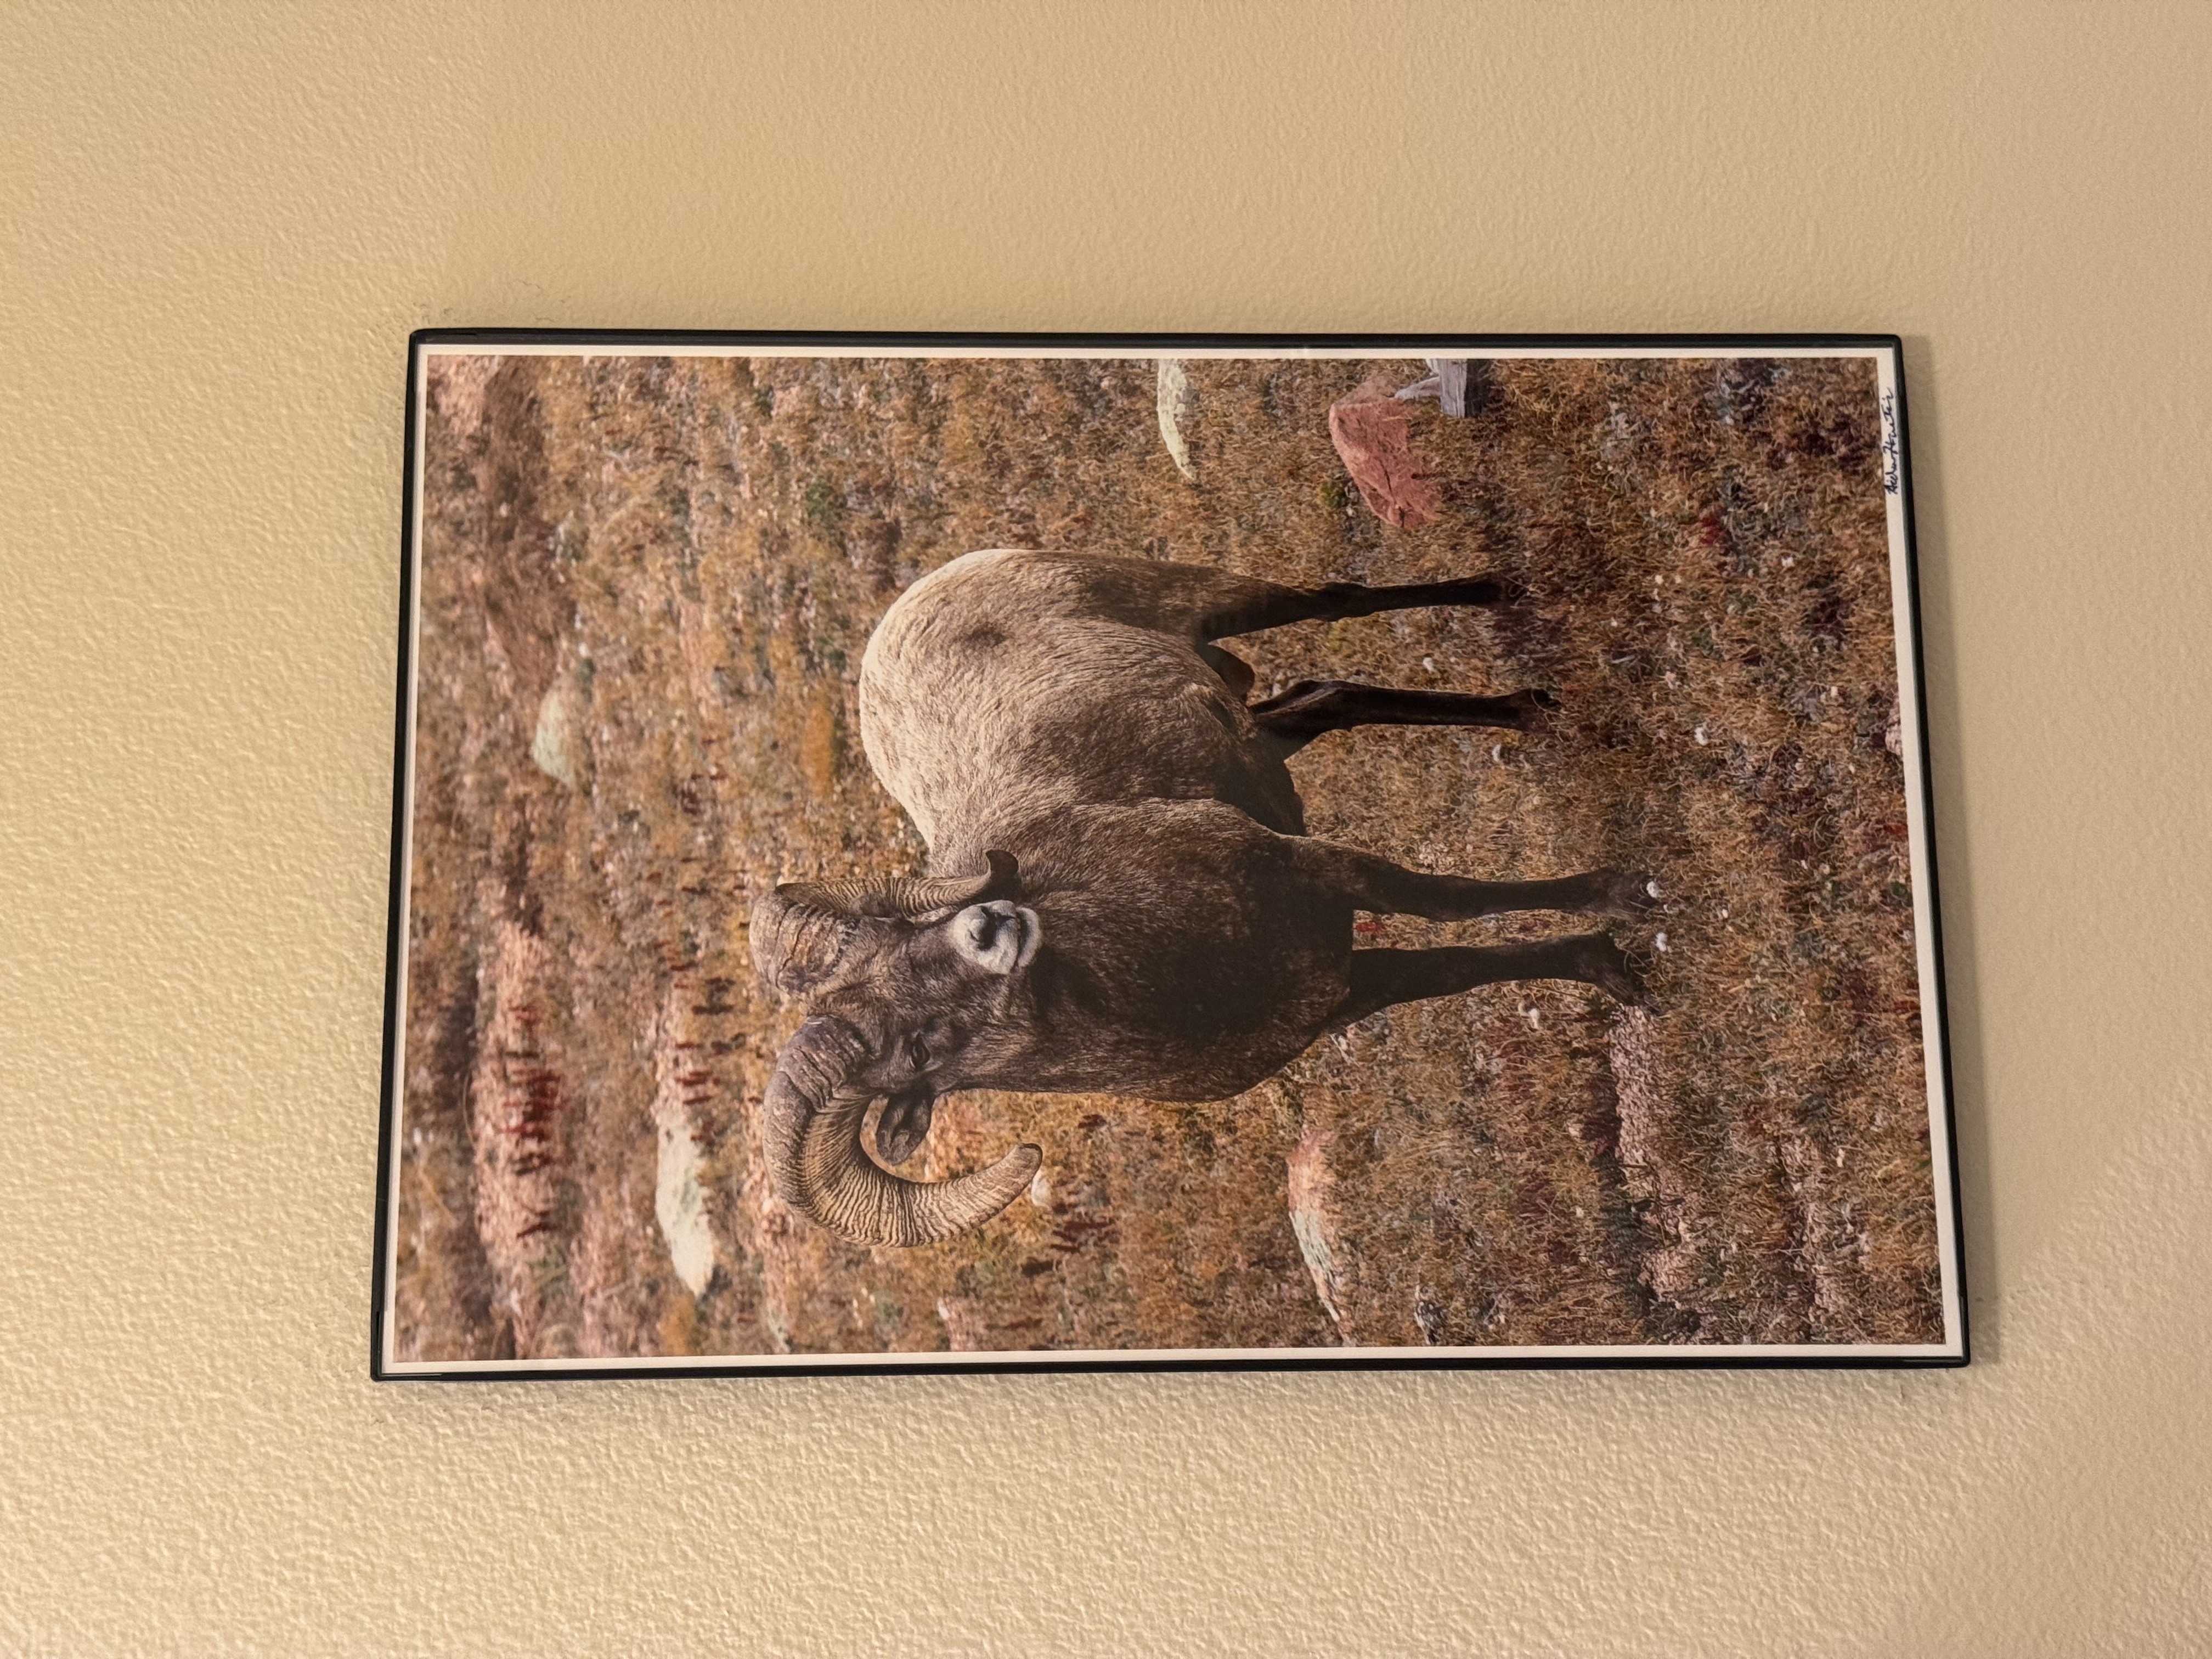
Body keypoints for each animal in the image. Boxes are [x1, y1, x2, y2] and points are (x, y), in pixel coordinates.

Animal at [750, 549, 1652, 1247]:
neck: (1173, 981)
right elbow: (1469, 963)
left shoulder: (1317, 870)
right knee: (1329, 698)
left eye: (916, 927)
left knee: (1336, 600)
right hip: (1260, 724)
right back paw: (1527, 708)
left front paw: (1623, 895)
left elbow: (1450, 902)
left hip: (1208, 598)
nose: (990, 924)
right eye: (913, 1051)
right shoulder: (1346, 988)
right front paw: (1610, 968)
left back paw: (1508, 620)